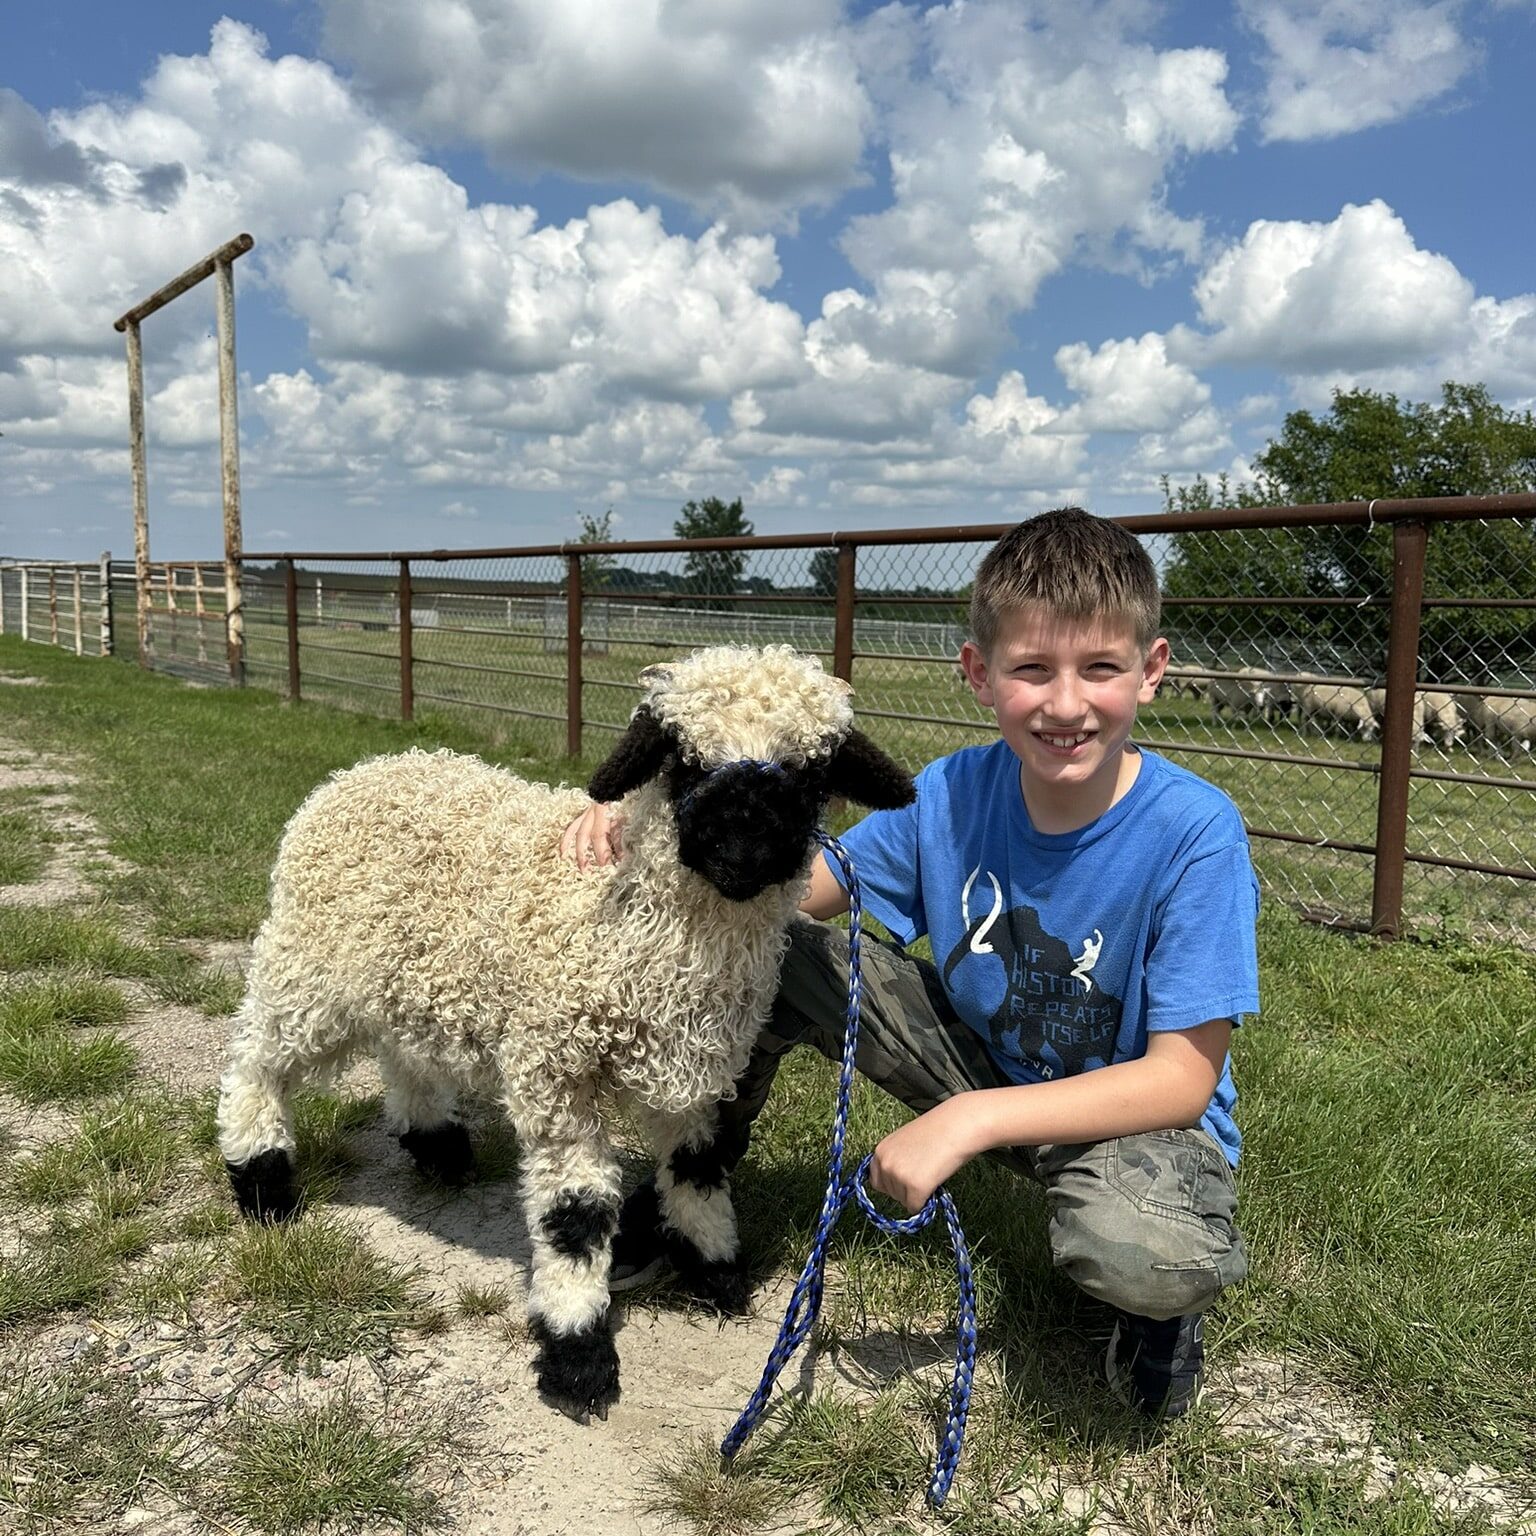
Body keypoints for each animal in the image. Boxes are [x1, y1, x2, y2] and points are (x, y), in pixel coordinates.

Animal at [216, 645, 915, 1418]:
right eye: (682, 759)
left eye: (811, 772)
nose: (745, 841)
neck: (640, 934)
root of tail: (361, 773)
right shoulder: (557, 1073)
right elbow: (575, 1218)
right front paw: (578, 1355)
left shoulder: (696, 1071)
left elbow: (699, 1170)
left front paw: (716, 1271)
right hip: (311, 964)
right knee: (255, 1059)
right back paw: (263, 1179)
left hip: (416, 976)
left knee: (405, 1055)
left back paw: (437, 1146)